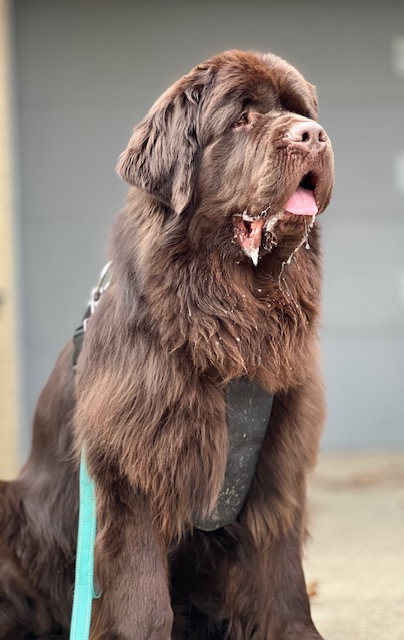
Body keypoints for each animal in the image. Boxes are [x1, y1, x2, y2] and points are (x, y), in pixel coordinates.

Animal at [0, 51, 332, 640]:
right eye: (241, 118)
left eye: (301, 113)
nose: (312, 135)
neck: (234, 316)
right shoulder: (132, 472)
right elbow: (143, 600)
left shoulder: (278, 470)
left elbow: (284, 588)